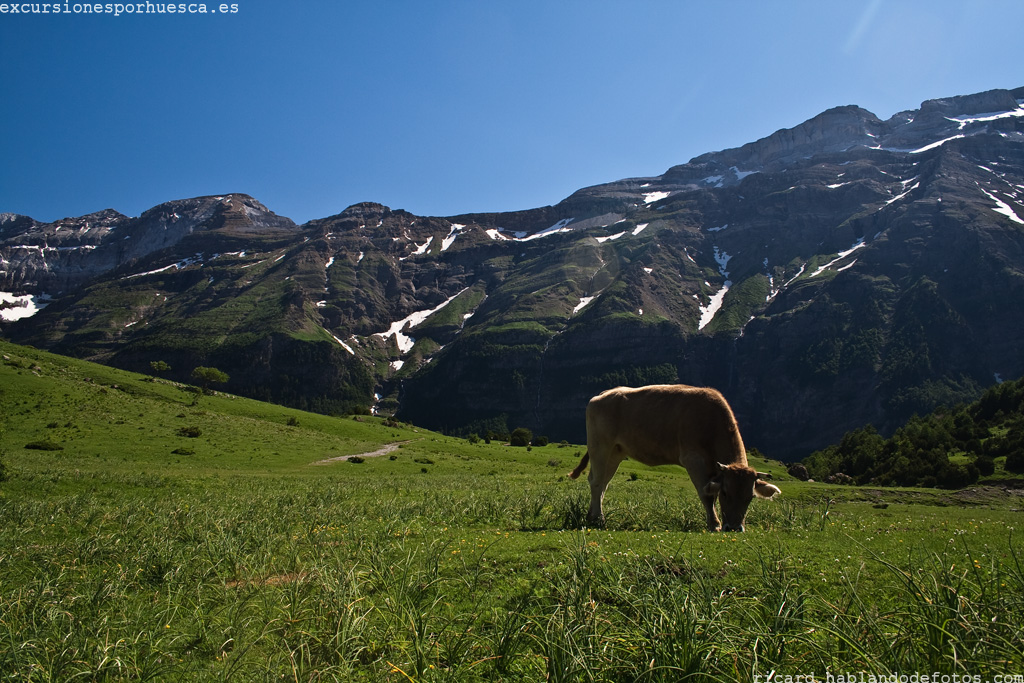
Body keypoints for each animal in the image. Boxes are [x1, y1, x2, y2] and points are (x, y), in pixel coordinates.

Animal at [569, 387, 774, 532]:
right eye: (725, 493)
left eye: (750, 497)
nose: (733, 528)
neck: (711, 424)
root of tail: (602, 394)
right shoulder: (693, 458)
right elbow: (707, 494)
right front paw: (714, 524)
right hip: (600, 446)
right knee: (597, 482)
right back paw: (598, 519)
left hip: (615, 452)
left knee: (602, 482)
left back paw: (591, 515)